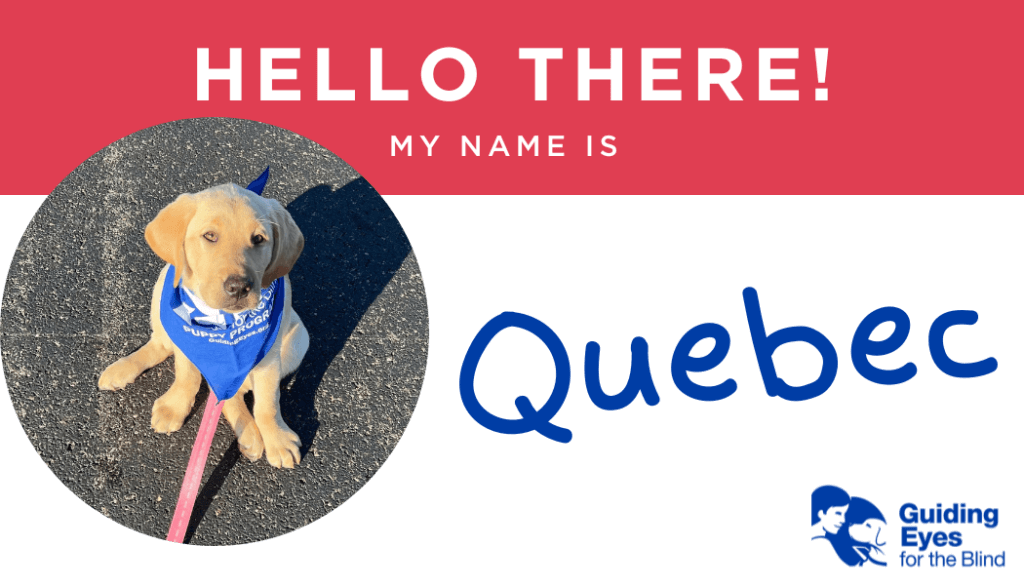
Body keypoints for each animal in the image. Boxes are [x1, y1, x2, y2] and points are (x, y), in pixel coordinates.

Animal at [99, 185, 307, 469]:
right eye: (210, 236)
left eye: (258, 239)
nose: (239, 287)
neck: (224, 323)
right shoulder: (188, 341)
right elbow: (187, 376)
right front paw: (175, 406)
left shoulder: (269, 355)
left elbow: (268, 401)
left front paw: (277, 438)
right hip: (162, 288)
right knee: (161, 344)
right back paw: (121, 369)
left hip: (298, 340)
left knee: (233, 392)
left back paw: (250, 436)